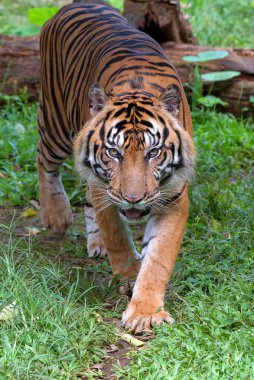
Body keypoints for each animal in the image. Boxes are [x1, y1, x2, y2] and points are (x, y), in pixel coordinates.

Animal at [37, 3, 194, 336]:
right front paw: (129, 274)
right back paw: (56, 214)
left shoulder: (174, 199)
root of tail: (74, 4)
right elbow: (118, 237)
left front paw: (145, 312)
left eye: (153, 153)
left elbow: (158, 258)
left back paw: (95, 244)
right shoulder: (104, 190)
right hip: (56, 124)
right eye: (114, 152)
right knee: (43, 157)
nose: (133, 199)